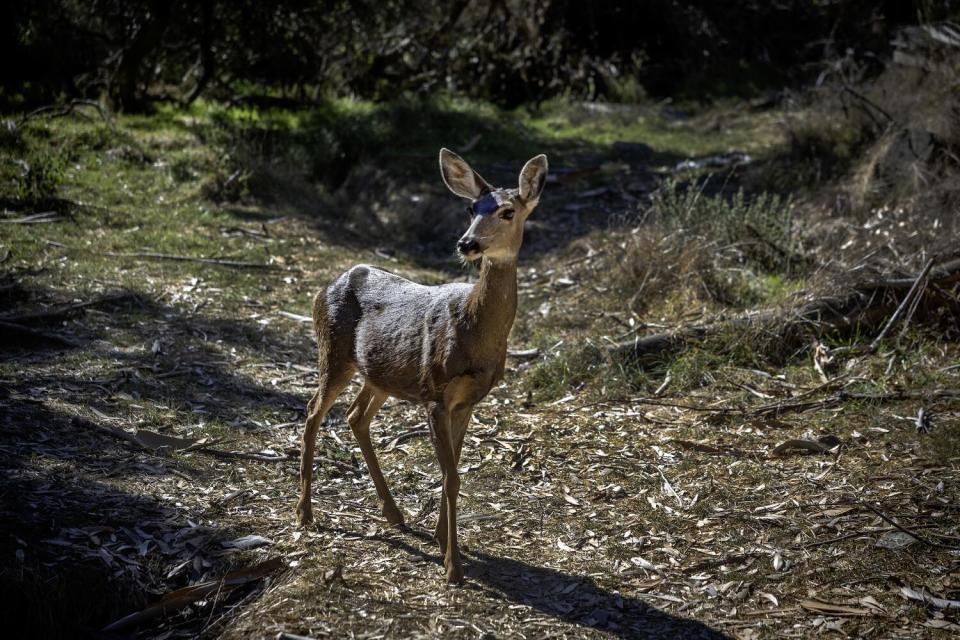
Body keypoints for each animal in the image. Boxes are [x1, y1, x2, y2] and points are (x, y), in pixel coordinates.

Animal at [296, 148, 548, 584]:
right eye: (470, 208)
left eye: (507, 211)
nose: (467, 243)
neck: (475, 333)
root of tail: (329, 284)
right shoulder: (436, 392)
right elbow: (451, 476)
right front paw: (453, 565)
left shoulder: (467, 401)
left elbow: (455, 470)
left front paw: (440, 536)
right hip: (334, 351)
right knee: (313, 413)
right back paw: (305, 513)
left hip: (380, 374)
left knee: (355, 416)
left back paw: (394, 514)